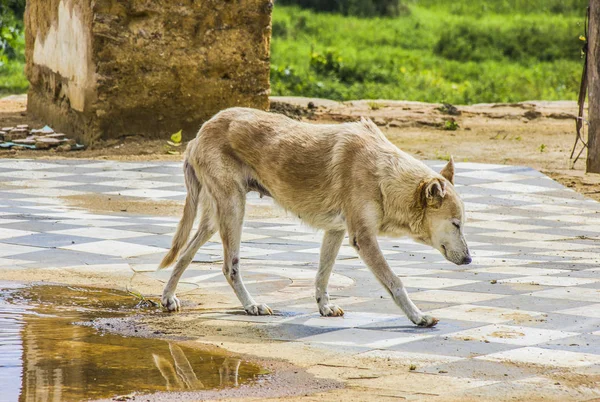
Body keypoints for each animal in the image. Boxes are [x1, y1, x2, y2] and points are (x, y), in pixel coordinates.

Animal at [161, 107, 474, 326]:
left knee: (185, 254)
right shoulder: (363, 238)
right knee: (229, 267)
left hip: (215, 220)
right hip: (233, 211)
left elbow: (323, 275)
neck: (383, 174)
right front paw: (418, 317)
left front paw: (324, 307)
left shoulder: (335, 231)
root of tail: (199, 133)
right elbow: (395, 283)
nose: (471, 259)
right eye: (456, 224)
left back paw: (168, 297)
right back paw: (251, 305)